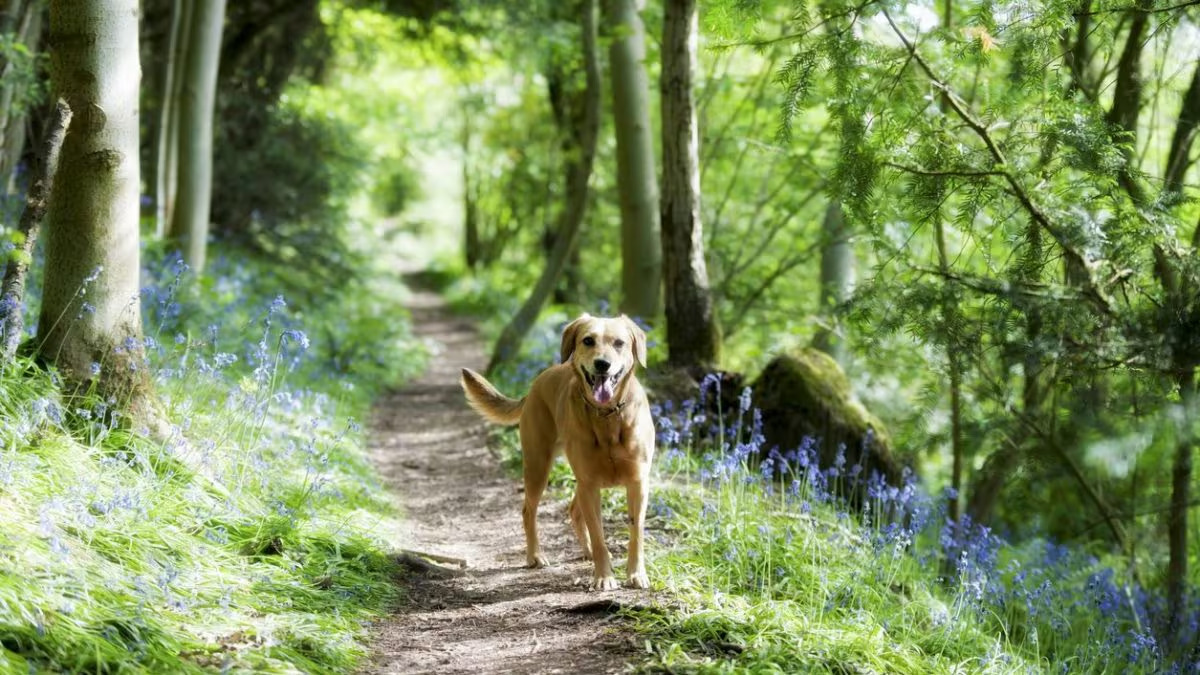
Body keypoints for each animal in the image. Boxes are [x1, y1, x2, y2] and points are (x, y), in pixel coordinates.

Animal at [460, 312, 657, 586]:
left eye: (619, 343)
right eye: (588, 340)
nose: (602, 364)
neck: (607, 416)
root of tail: (535, 384)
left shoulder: (637, 483)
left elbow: (636, 533)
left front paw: (636, 575)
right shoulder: (589, 484)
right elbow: (599, 536)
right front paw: (604, 577)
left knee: (573, 510)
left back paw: (586, 552)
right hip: (538, 466)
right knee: (529, 511)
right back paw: (535, 556)